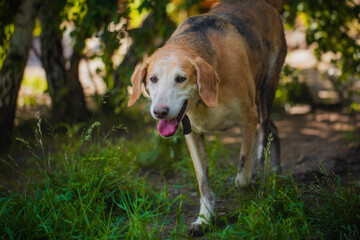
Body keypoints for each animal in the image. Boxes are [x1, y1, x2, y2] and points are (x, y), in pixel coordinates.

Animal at [128, 0, 286, 236]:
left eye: (181, 78)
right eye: (153, 79)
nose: (160, 112)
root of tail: (266, 4)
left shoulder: (248, 120)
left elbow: (241, 175)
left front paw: (249, 188)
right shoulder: (192, 135)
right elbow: (203, 183)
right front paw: (205, 219)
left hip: (264, 93)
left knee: (265, 130)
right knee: (273, 130)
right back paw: (275, 171)